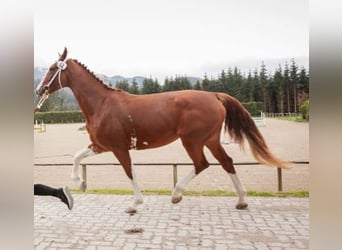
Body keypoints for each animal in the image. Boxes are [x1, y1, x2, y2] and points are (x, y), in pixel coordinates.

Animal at [35, 47, 288, 213]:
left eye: (52, 68)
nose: (39, 90)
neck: (102, 104)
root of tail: (214, 95)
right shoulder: (101, 145)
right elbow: (77, 157)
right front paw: (80, 183)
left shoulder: (118, 148)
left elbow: (129, 172)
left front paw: (134, 204)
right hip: (210, 140)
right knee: (226, 162)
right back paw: (241, 200)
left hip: (192, 141)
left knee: (202, 164)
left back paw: (177, 194)